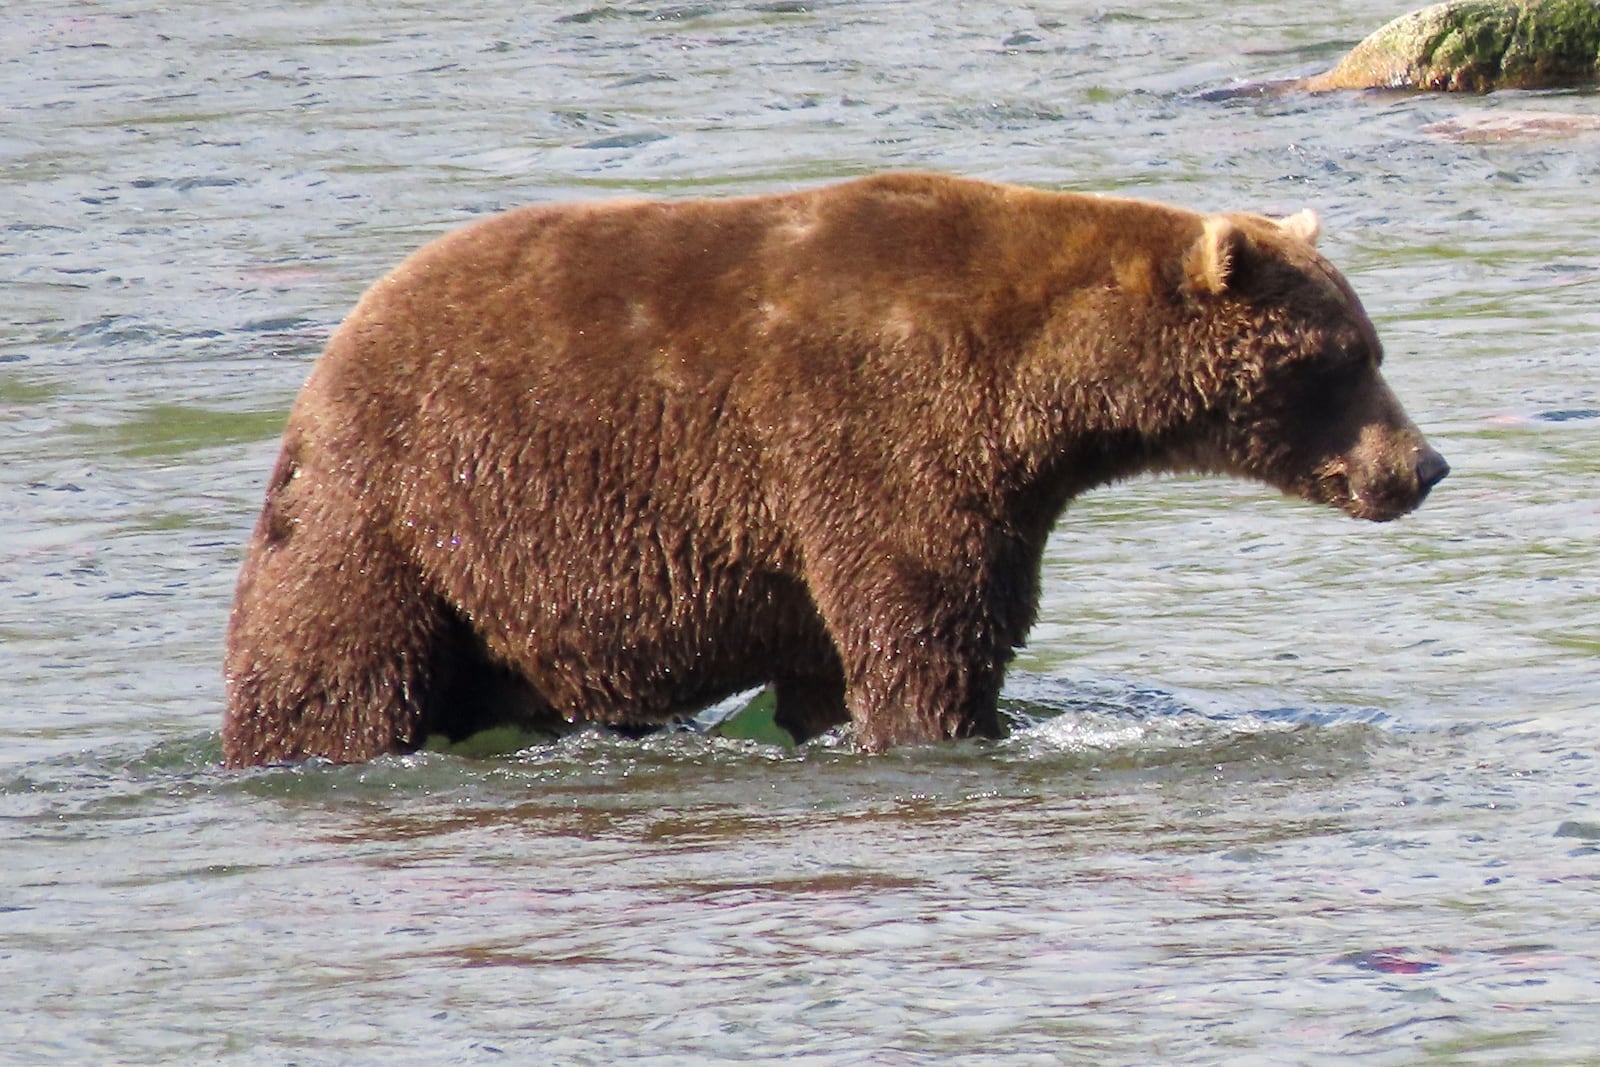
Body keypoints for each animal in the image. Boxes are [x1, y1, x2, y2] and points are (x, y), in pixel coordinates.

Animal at [225, 168, 1452, 767]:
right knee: (328, 663)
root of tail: (329, 356)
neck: (1047, 391)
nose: (1423, 462)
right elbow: (927, 619)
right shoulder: (886, 432)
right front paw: (948, 727)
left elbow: (840, 651)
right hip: (397, 510)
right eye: (1346, 357)